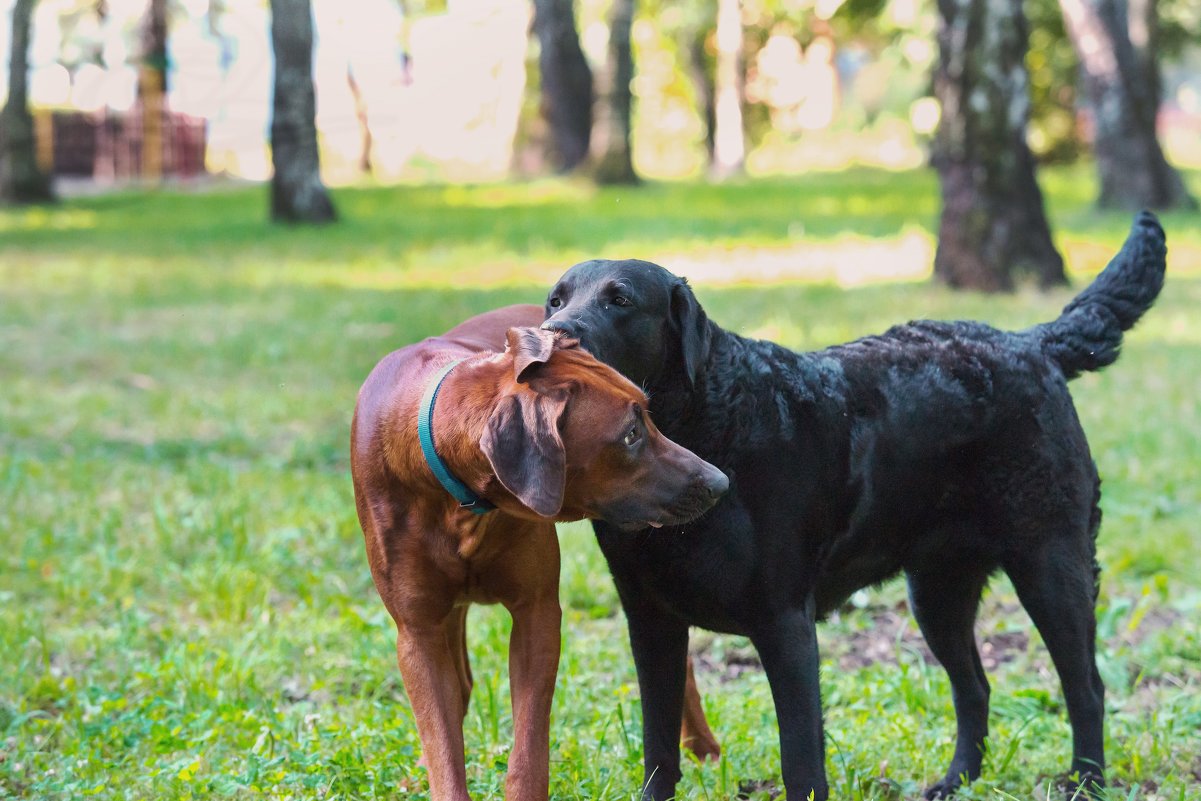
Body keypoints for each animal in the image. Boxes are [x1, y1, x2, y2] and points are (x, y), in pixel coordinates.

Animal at [348, 303, 720, 797]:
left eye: (648, 415)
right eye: (630, 433)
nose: (720, 482)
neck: (460, 502)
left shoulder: (537, 612)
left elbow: (528, 748)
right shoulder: (417, 633)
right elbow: (442, 744)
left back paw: (702, 747)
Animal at [542, 214, 1162, 801]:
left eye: (620, 300)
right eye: (556, 299)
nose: (552, 334)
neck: (706, 424)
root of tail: (1031, 343)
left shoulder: (785, 624)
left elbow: (800, 760)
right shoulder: (651, 621)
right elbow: (658, 749)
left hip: (1052, 564)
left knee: (1086, 689)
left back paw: (1086, 783)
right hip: (937, 590)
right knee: (974, 688)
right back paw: (955, 782)